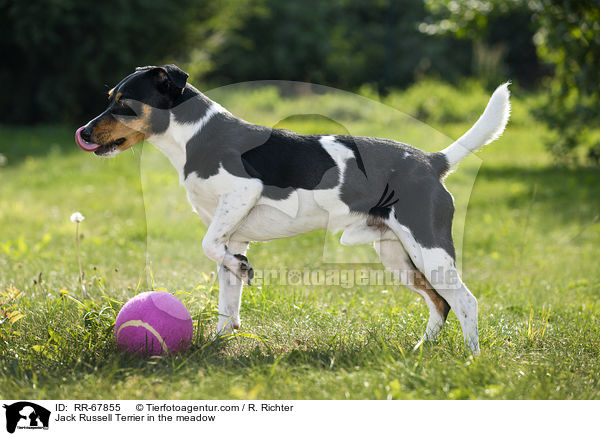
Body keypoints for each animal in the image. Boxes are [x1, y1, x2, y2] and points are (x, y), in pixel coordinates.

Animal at [72, 63, 508, 354]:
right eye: (109, 100)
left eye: (124, 104)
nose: (84, 133)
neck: (194, 136)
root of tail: (432, 161)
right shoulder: (234, 234)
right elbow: (226, 297)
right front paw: (221, 338)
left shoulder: (241, 192)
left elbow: (208, 247)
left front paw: (244, 272)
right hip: (397, 255)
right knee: (440, 303)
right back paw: (419, 350)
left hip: (428, 248)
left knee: (465, 302)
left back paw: (471, 358)